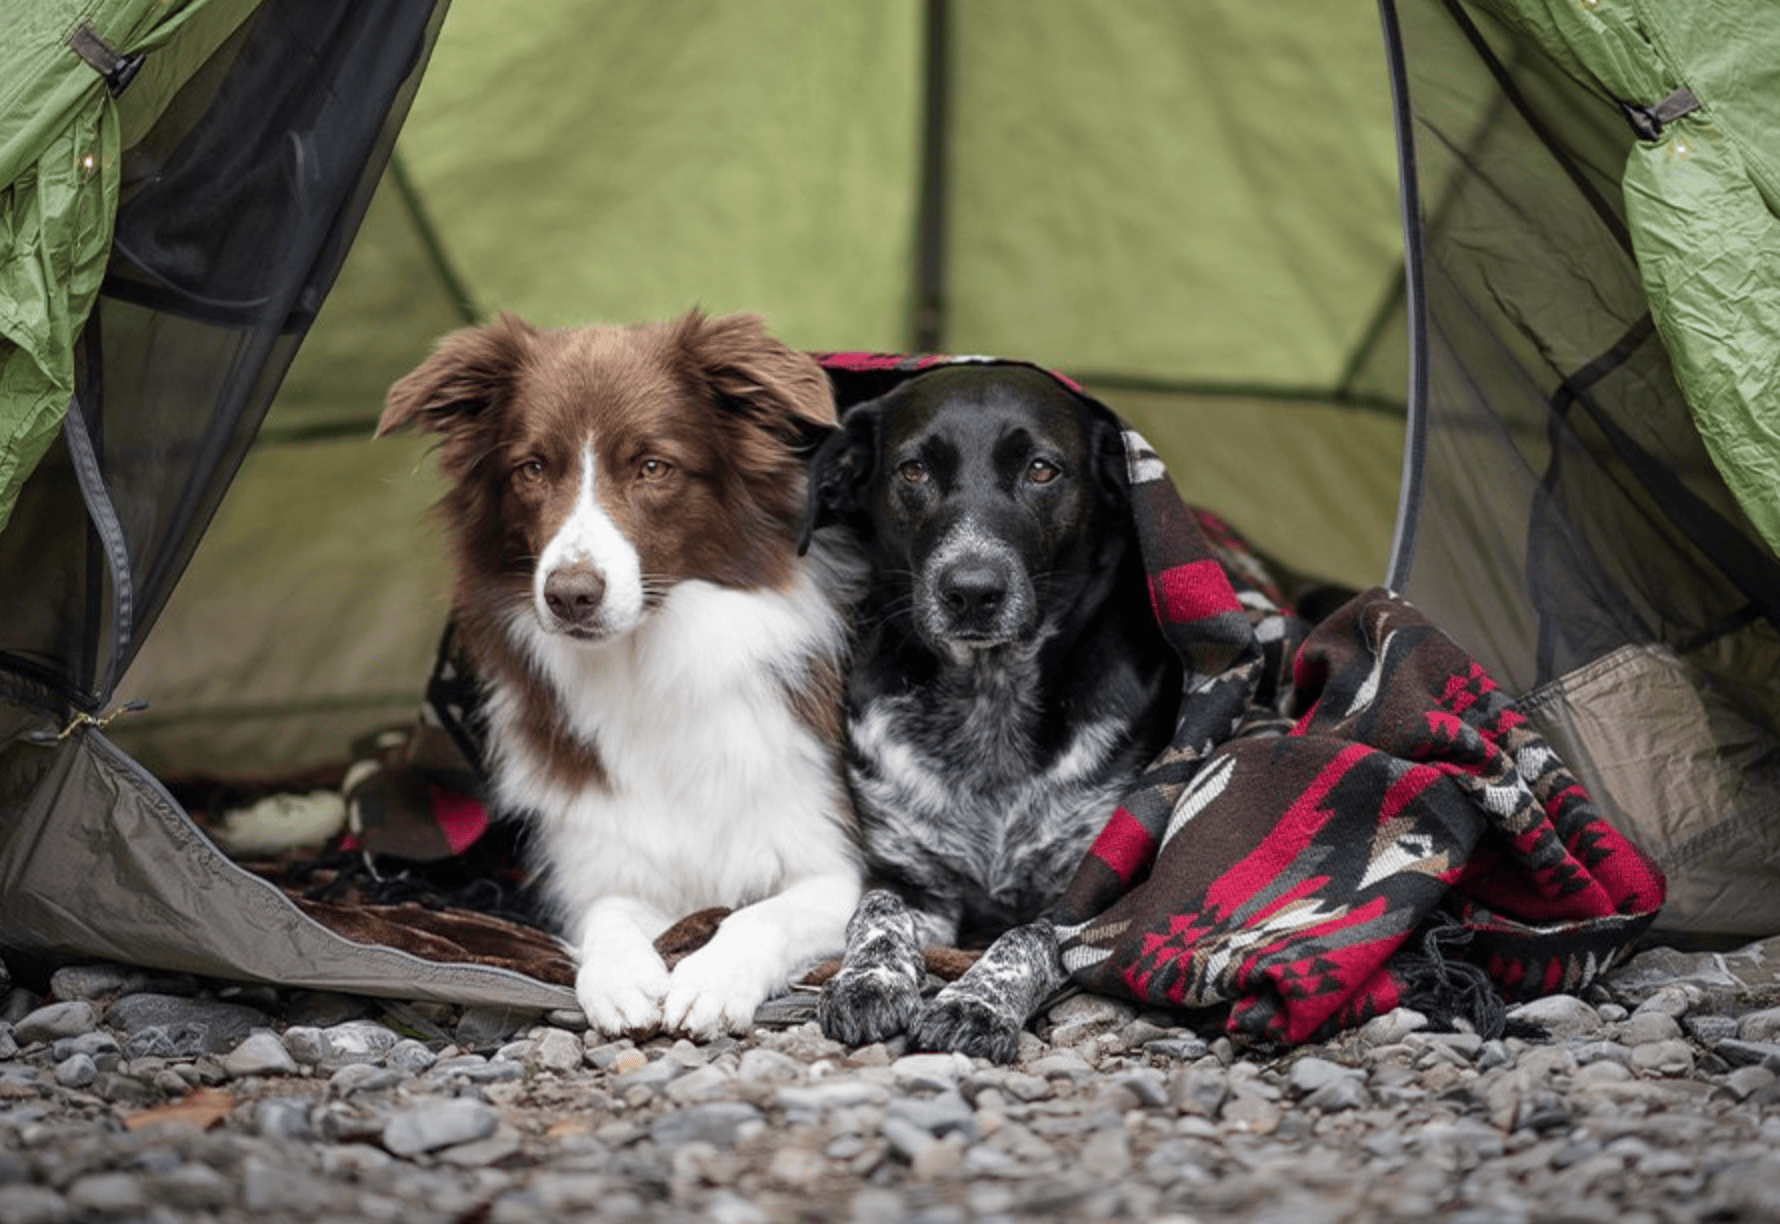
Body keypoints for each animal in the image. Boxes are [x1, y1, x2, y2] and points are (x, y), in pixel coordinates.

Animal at [379, 311, 865, 1038]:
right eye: (531, 468)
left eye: (653, 466)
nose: (570, 595)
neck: (648, 663)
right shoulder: (600, 858)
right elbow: (608, 912)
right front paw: (620, 976)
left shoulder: (846, 864)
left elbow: (764, 913)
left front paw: (714, 978)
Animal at [801, 361, 1174, 1060]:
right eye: (913, 470)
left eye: (1042, 469)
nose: (972, 590)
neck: (987, 696)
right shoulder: (910, 877)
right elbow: (877, 914)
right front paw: (867, 981)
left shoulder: (1085, 898)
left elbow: (1025, 938)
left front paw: (976, 1002)